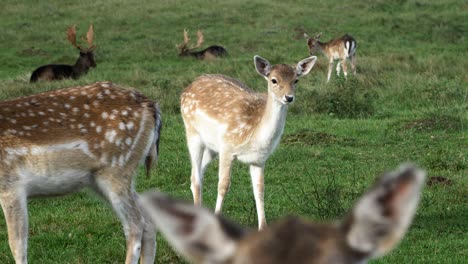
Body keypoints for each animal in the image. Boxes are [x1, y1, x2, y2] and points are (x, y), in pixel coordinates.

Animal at [0, 81, 163, 262]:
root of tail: (151, 106)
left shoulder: (10, 185)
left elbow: (17, 245)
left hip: (117, 169)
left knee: (135, 224)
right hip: (101, 179)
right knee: (148, 219)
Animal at [179, 54, 318, 229]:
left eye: (296, 80)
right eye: (273, 80)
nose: (289, 97)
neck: (255, 136)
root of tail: (188, 87)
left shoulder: (259, 159)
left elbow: (259, 190)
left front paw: (263, 227)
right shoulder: (227, 148)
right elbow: (223, 185)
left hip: (211, 147)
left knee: (195, 174)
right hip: (192, 132)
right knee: (196, 178)